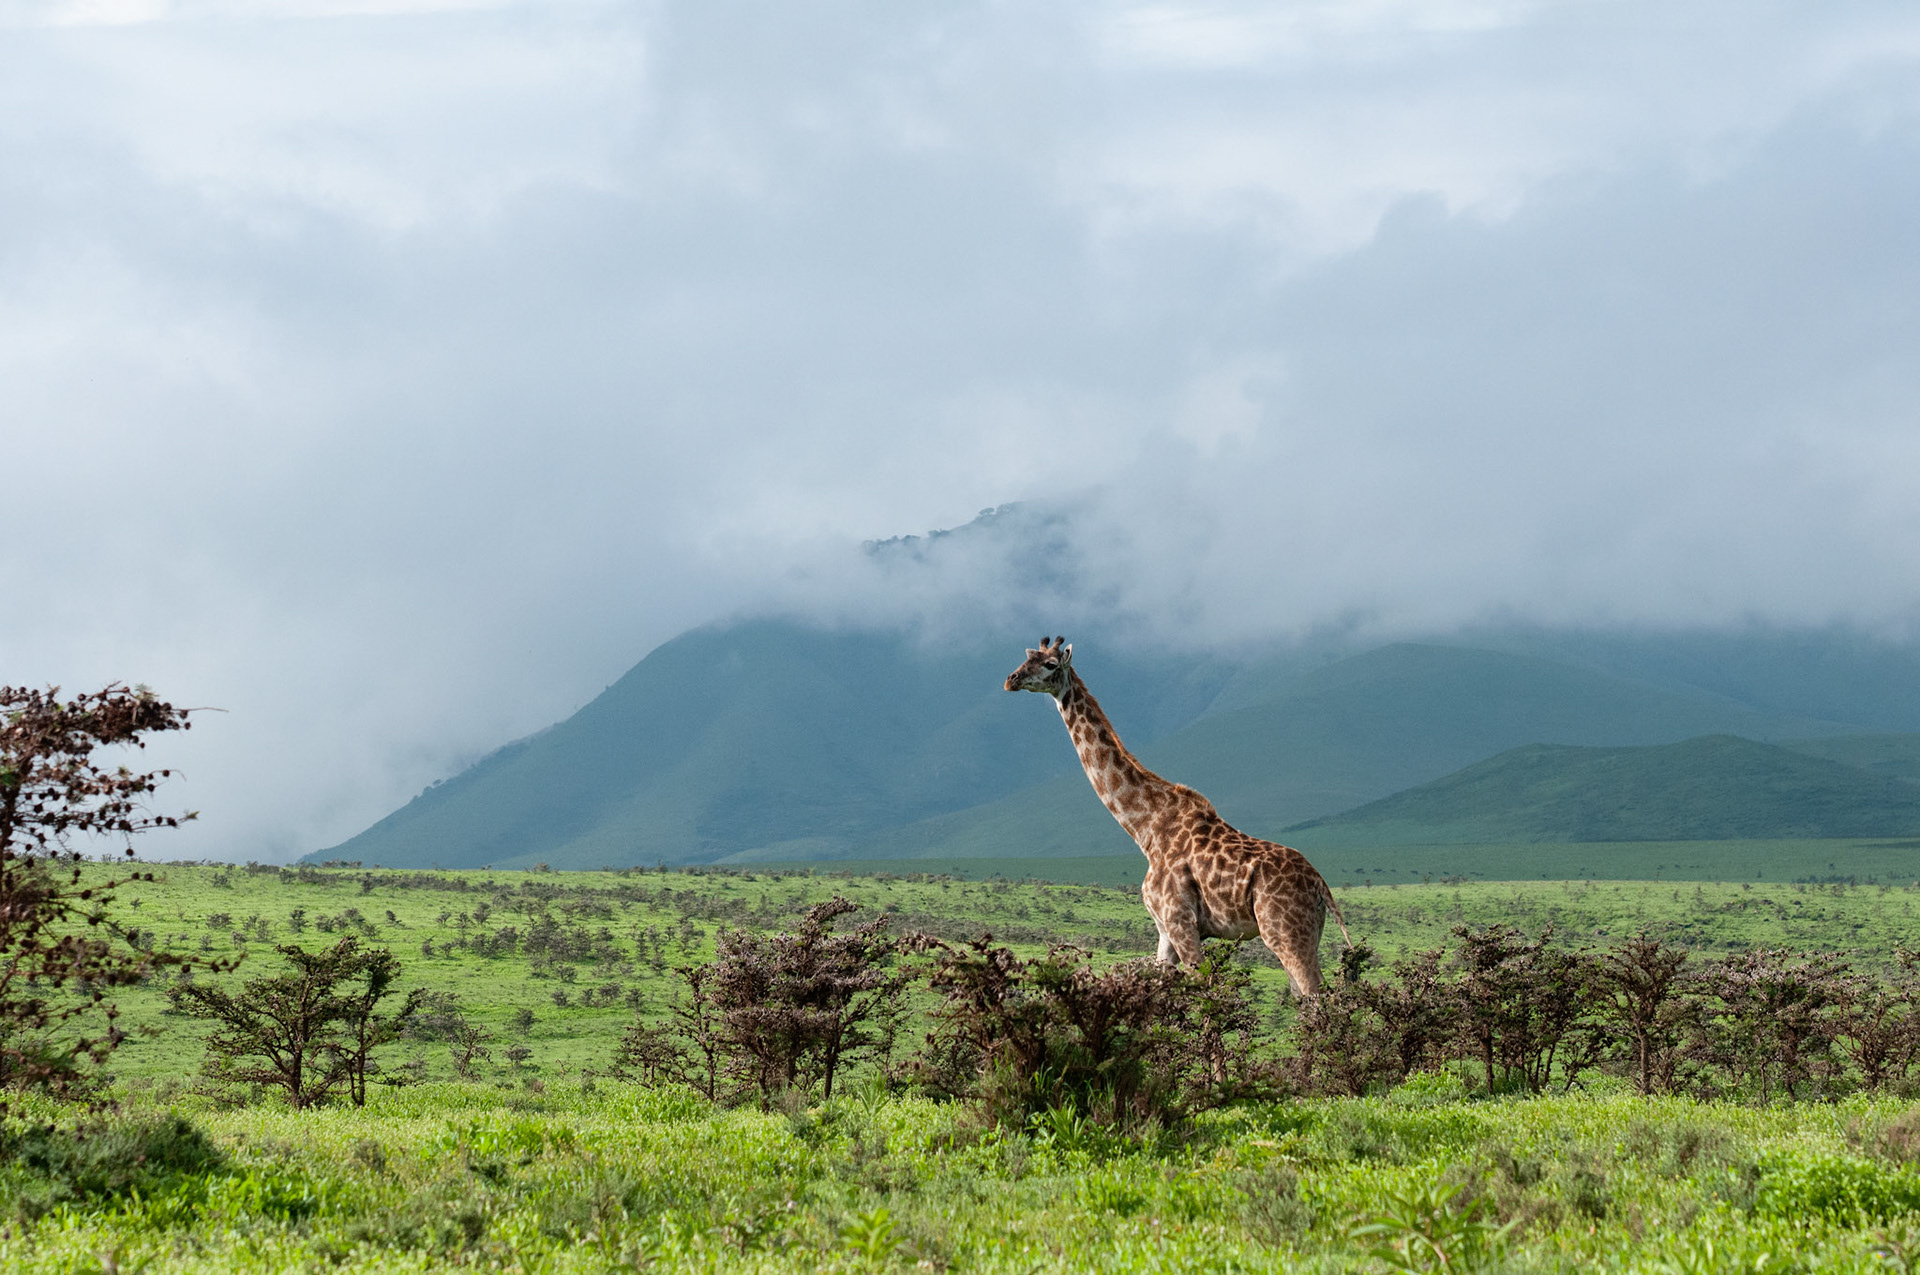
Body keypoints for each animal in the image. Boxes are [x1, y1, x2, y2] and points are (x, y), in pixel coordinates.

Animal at [1005, 636, 1351, 995]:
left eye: (1050, 664)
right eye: (1027, 657)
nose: (1011, 680)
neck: (1145, 828)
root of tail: (1321, 885)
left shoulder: (1181, 922)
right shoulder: (1164, 929)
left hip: (1285, 932)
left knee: (1316, 992)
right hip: (1303, 931)